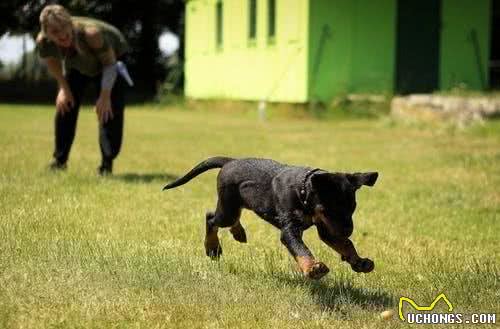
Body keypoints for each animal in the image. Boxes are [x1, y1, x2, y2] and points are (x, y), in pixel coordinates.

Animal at [164, 155, 378, 278]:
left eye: (352, 208)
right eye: (331, 209)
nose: (348, 230)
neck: (303, 192)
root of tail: (230, 161)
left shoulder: (327, 229)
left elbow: (346, 244)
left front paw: (359, 262)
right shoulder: (291, 230)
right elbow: (301, 249)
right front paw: (313, 268)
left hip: (236, 204)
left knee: (231, 218)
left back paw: (238, 233)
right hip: (227, 208)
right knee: (211, 218)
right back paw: (213, 247)